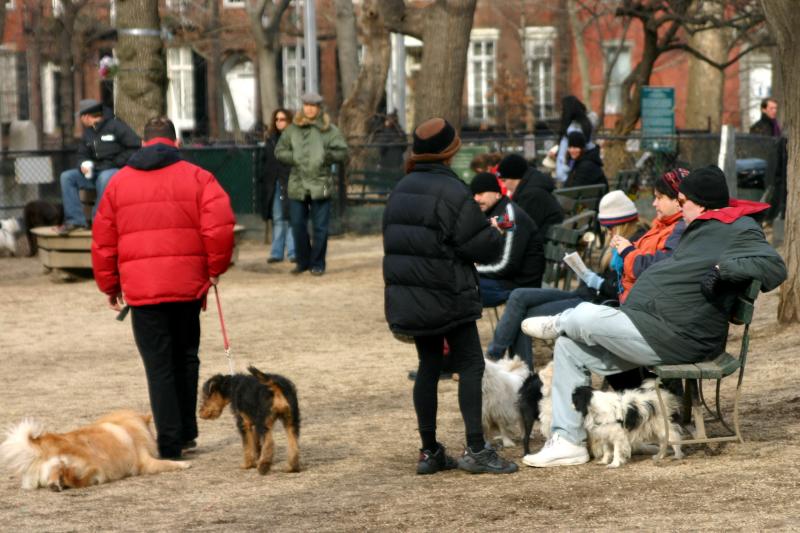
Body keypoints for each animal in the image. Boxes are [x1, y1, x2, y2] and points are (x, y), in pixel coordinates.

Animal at [0, 408, 189, 490]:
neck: (125, 423)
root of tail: (43, 444)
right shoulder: (146, 462)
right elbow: (167, 463)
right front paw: (184, 464)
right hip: (94, 467)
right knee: (74, 478)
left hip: (56, 465)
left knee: (57, 472)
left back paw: (56, 484)